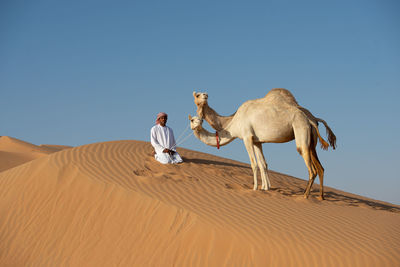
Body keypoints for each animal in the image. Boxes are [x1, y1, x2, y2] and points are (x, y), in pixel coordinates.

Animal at [192, 89, 336, 200]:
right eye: (197, 95)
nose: (205, 95)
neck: (233, 122)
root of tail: (312, 119)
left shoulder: (247, 137)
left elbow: (254, 164)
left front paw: (255, 188)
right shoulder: (257, 141)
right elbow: (263, 164)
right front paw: (265, 188)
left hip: (301, 130)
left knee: (311, 168)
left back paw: (305, 196)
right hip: (312, 142)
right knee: (320, 168)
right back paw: (321, 197)